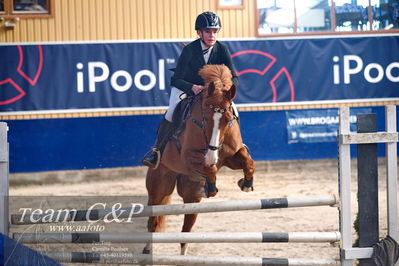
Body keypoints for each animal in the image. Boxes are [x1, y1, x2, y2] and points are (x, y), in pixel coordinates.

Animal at [144, 64, 256, 256]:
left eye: (228, 119)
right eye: (205, 117)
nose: (211, 155)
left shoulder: (230, 157)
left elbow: (248, 163)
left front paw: (246, 183)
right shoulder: (188, 157)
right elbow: (210, 168)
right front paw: (212, 187)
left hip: (191, 198)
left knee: (186, 231)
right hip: (159, 186)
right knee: (153, 221)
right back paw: (147, 250)